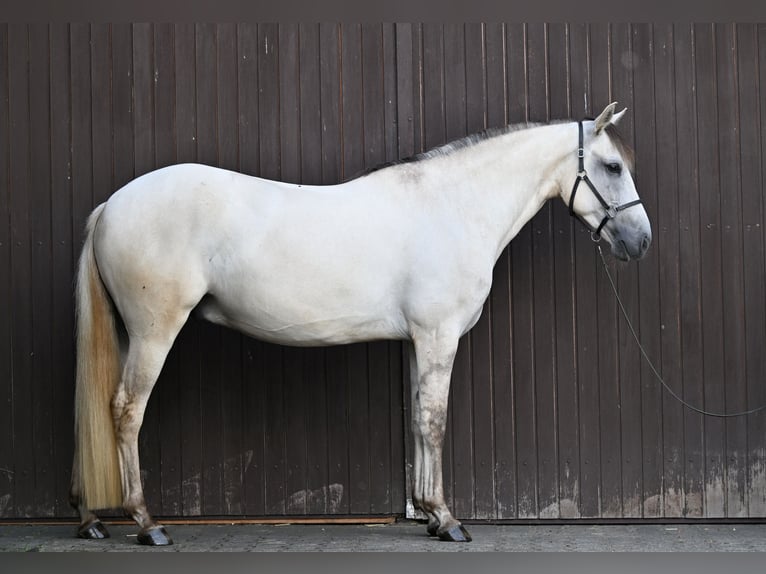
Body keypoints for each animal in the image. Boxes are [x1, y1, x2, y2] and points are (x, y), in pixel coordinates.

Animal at [69, 101, 652, 548]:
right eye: (612, 166)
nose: (641, 240)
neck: (452, 206)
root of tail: (112, 205)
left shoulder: (419, 340)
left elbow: (418, 419)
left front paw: (429, 514)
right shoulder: (438, 336)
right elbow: (435, 421)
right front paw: (449, 520)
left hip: (129, 334)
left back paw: (91, 519)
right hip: (153, 332)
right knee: (126, 411)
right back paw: (147, 524)